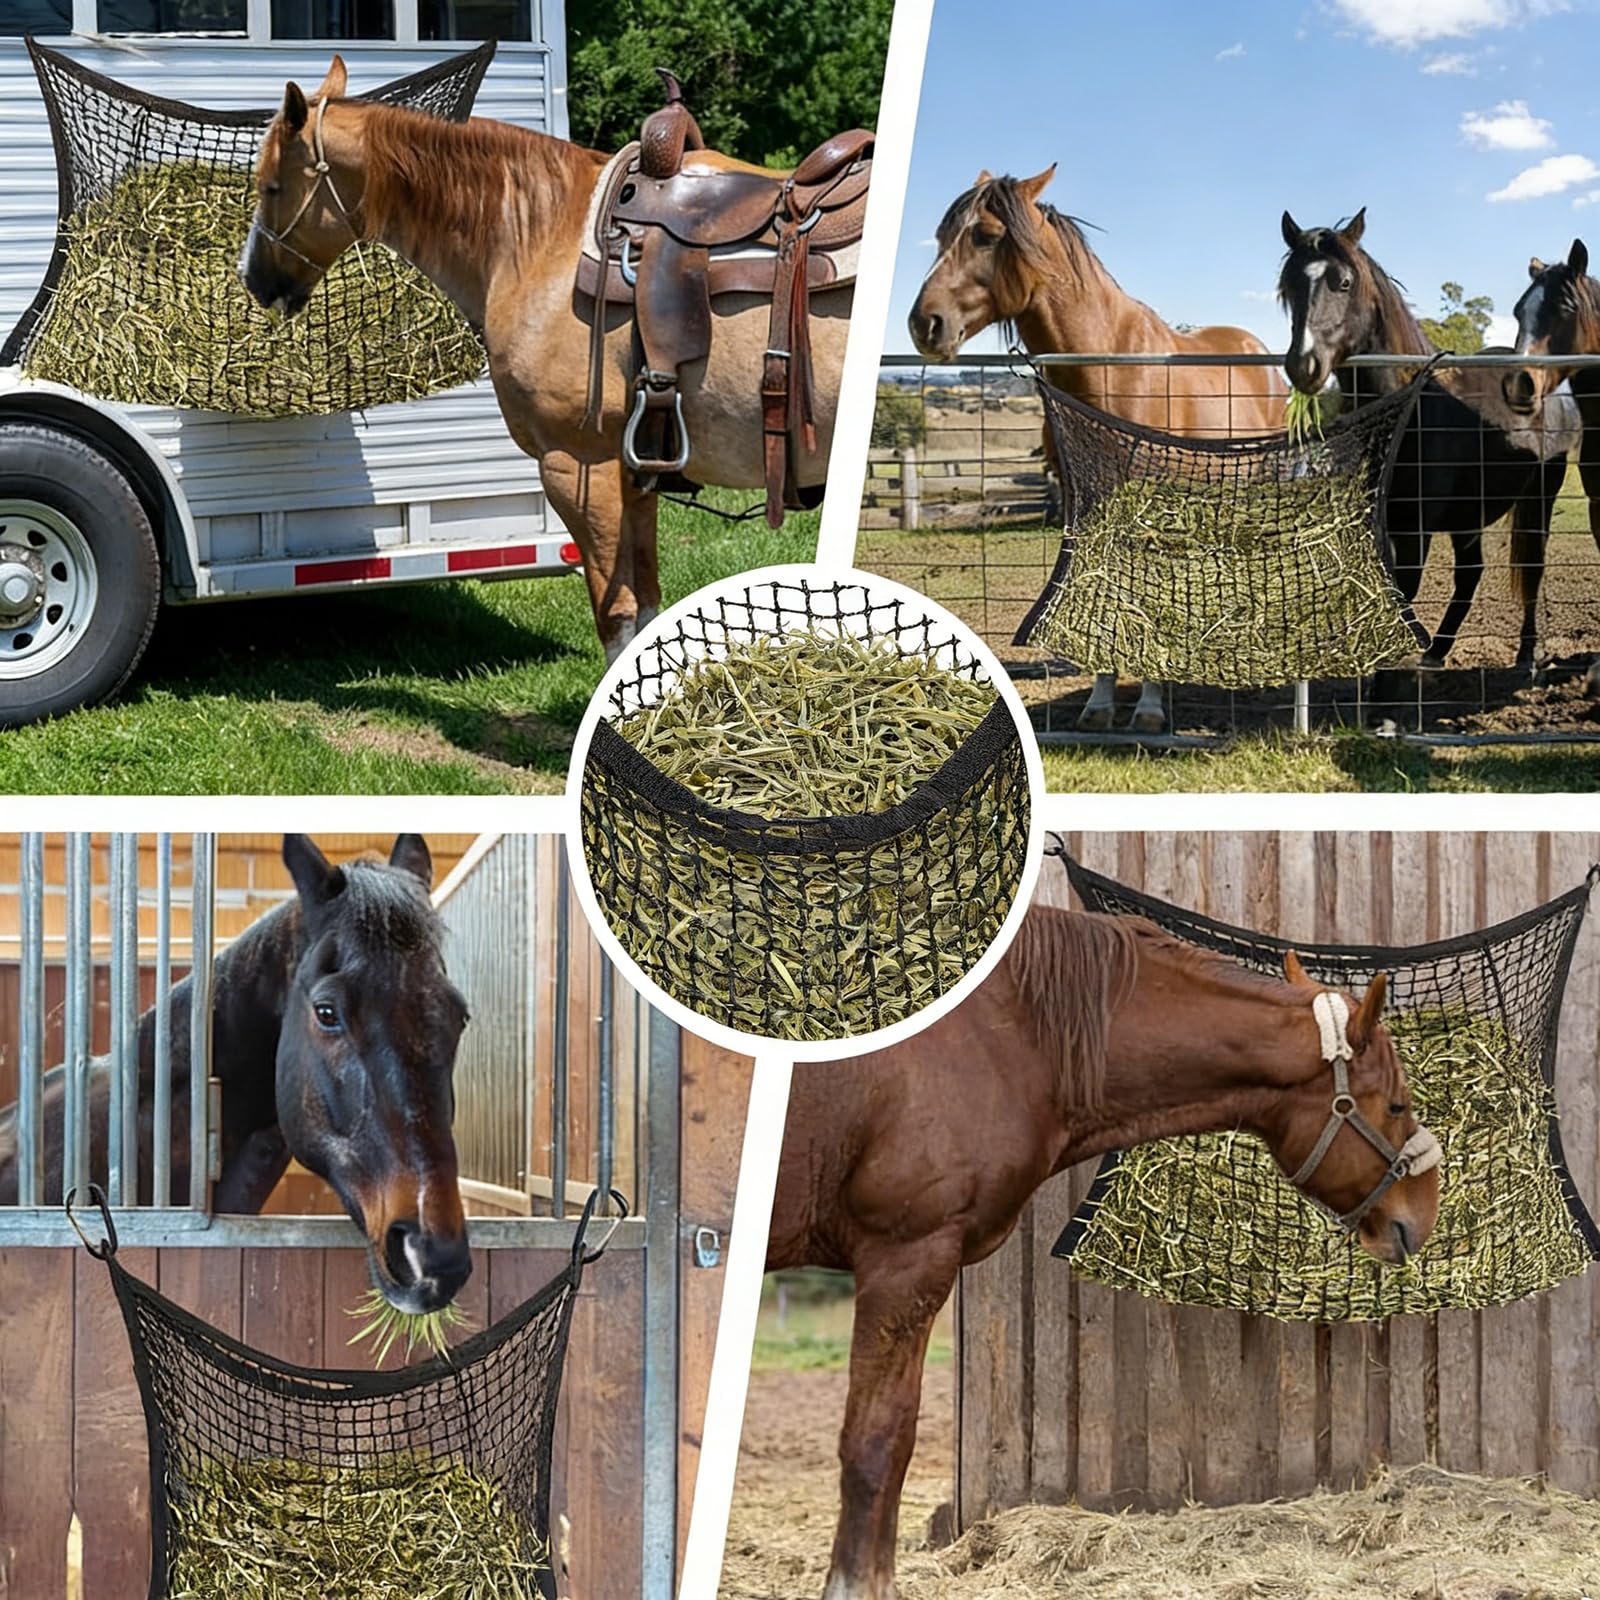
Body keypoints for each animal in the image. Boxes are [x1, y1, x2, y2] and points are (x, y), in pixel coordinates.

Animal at [238, 58, 853, 662]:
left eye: (271, 187)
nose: (254, 279)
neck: (539, 237)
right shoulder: (637, 472)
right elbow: (646, 606)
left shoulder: (578, 466)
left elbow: (616, 618)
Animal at [907, 167, 1287, 733]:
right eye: (938, 236)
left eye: (987, 236)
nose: (924, 324)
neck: (1108, 367)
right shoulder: (1083, 498)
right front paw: (1100, 705)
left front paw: (1149, 707)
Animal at [1277, 209, 1576, 697]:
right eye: (1289, 287)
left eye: (1344, 282)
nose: (1304, 365)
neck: (1409, 409)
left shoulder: (1414, 528)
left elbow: (1404, 592)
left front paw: (1382, 691)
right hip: (1469, 513)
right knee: (1470, 573)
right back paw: (1435, 653)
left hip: (1541, 496)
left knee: (1531, 569)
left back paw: (1526, 658)